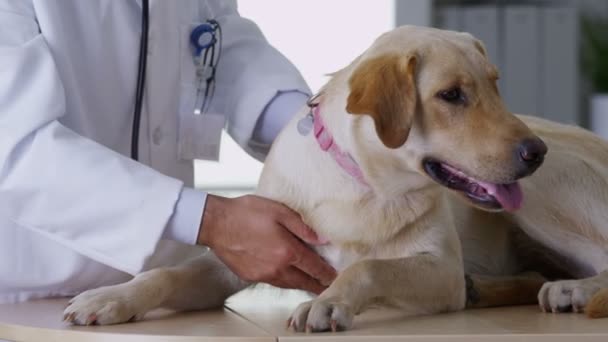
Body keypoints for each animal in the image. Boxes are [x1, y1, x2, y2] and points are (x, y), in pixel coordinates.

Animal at [64, 26, 608, 332]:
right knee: (536, 275)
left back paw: (573, 291)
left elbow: (368, 268)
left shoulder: (440, 271)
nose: (535, 153)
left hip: (540, 197)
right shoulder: (239, 256)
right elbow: (165, 274)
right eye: (452, 95)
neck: (368, 187)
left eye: (496, 86)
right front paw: (110, 298)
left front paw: (327, 304)